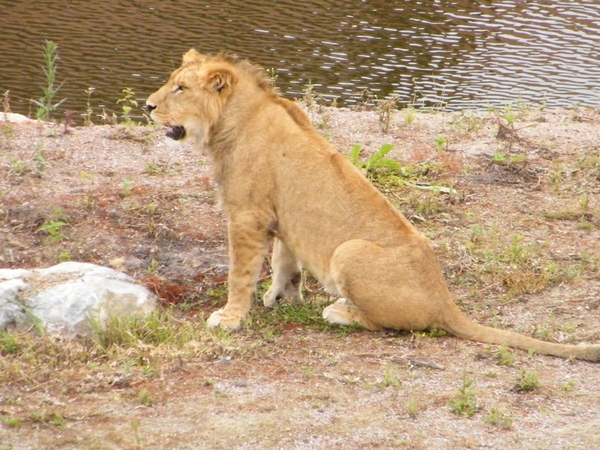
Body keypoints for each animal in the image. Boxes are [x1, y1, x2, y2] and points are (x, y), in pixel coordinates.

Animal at [146, 50, 600, 362]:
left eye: (180, 88)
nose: (148, 106)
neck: (230, 121)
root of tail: (446, 302)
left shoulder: (246, 216)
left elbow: (240, 275)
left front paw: (230, 319)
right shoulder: (280, 217)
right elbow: (284, 262)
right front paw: (282, 298)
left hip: (350, 251)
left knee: (386, 323)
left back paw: (339, 312)